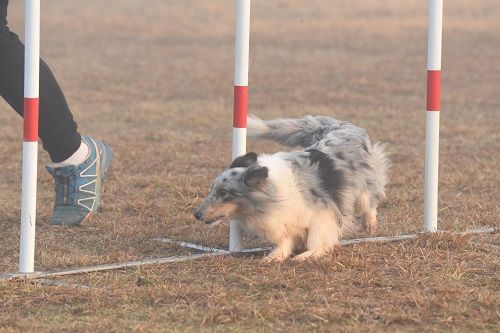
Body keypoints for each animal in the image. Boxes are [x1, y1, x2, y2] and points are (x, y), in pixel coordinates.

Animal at [193, 115, 388, 260]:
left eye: (223, 193)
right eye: (212, 190)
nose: (196, 215)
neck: (274, 193)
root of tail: (337, 125)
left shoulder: (322, 214)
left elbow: (316, 238)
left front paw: (308, 255)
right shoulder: (285, 220)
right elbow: (285, 239)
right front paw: (276, 256)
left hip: (364, 187)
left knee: (370, 203)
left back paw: (369, 224)